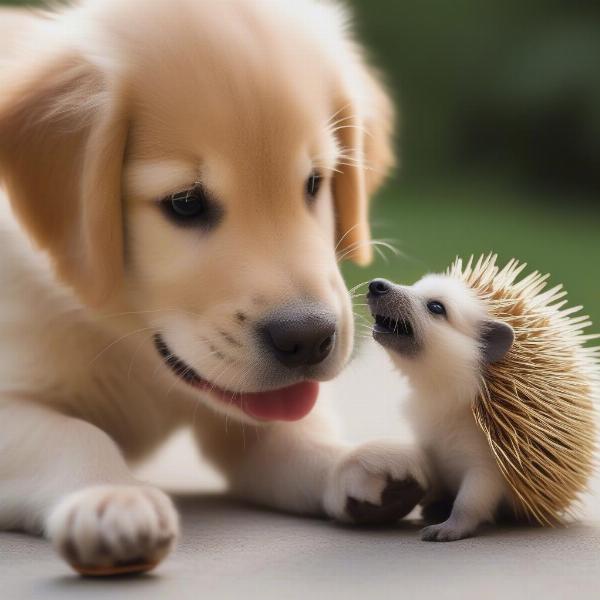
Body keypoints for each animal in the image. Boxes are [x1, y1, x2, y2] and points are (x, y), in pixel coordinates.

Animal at [0, 0, 426, 572]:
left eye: (315, 183)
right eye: (185, 202)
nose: (309, 338)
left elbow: (294, 431)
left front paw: (352, 459)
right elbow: (68, 434)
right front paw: (112, 497)